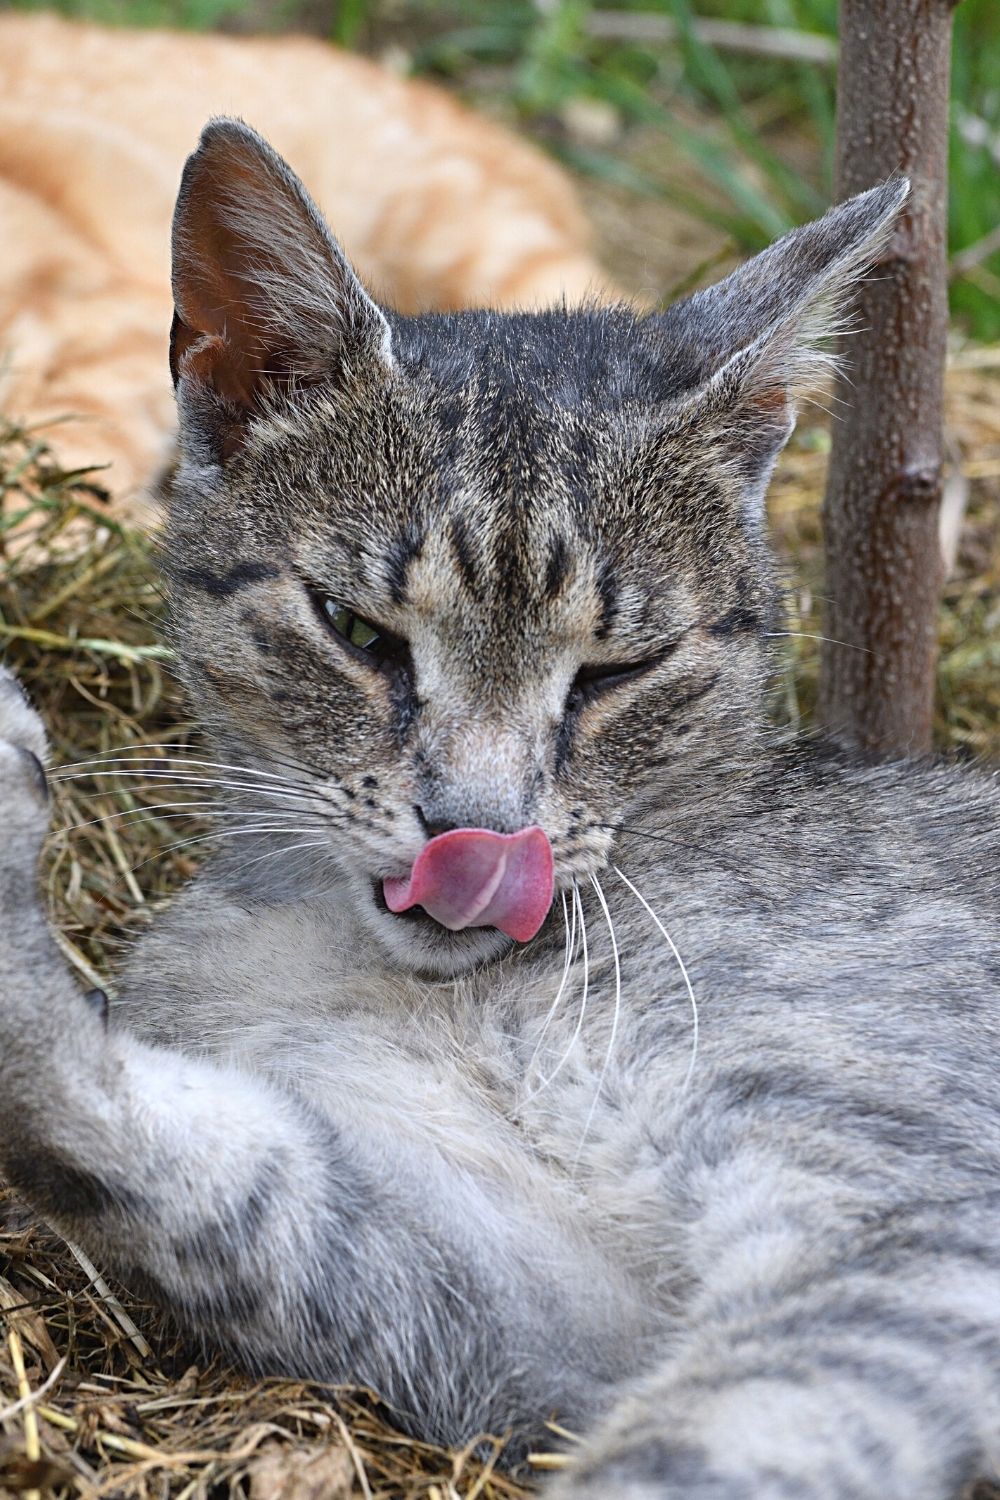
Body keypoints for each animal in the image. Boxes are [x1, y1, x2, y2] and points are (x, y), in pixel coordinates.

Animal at [1, 120, 1000, 1500]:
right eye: (356, 631)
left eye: (621, 671)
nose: (475, 837)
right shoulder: (515, 1310)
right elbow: (236, 1195)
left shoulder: (911, 1205)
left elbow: (738, 1431)